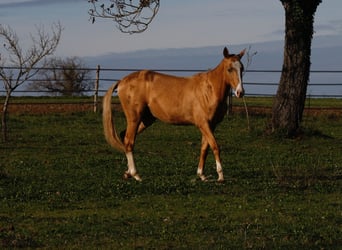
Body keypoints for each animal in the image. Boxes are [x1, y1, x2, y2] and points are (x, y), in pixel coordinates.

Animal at [103, 47, 244, 183]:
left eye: (242, 68)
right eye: (230, 69)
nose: (240, 92)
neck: (209, 90)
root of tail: (122, 81)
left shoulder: (211, 125)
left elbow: (205, 148)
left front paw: (202, 175)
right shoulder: (203, 124)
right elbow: (215, 146)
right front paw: (220, 176)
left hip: (146, 120)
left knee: (124, 137)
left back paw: (128, 173)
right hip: (134, 118)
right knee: (129, 141)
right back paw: (136, 175)